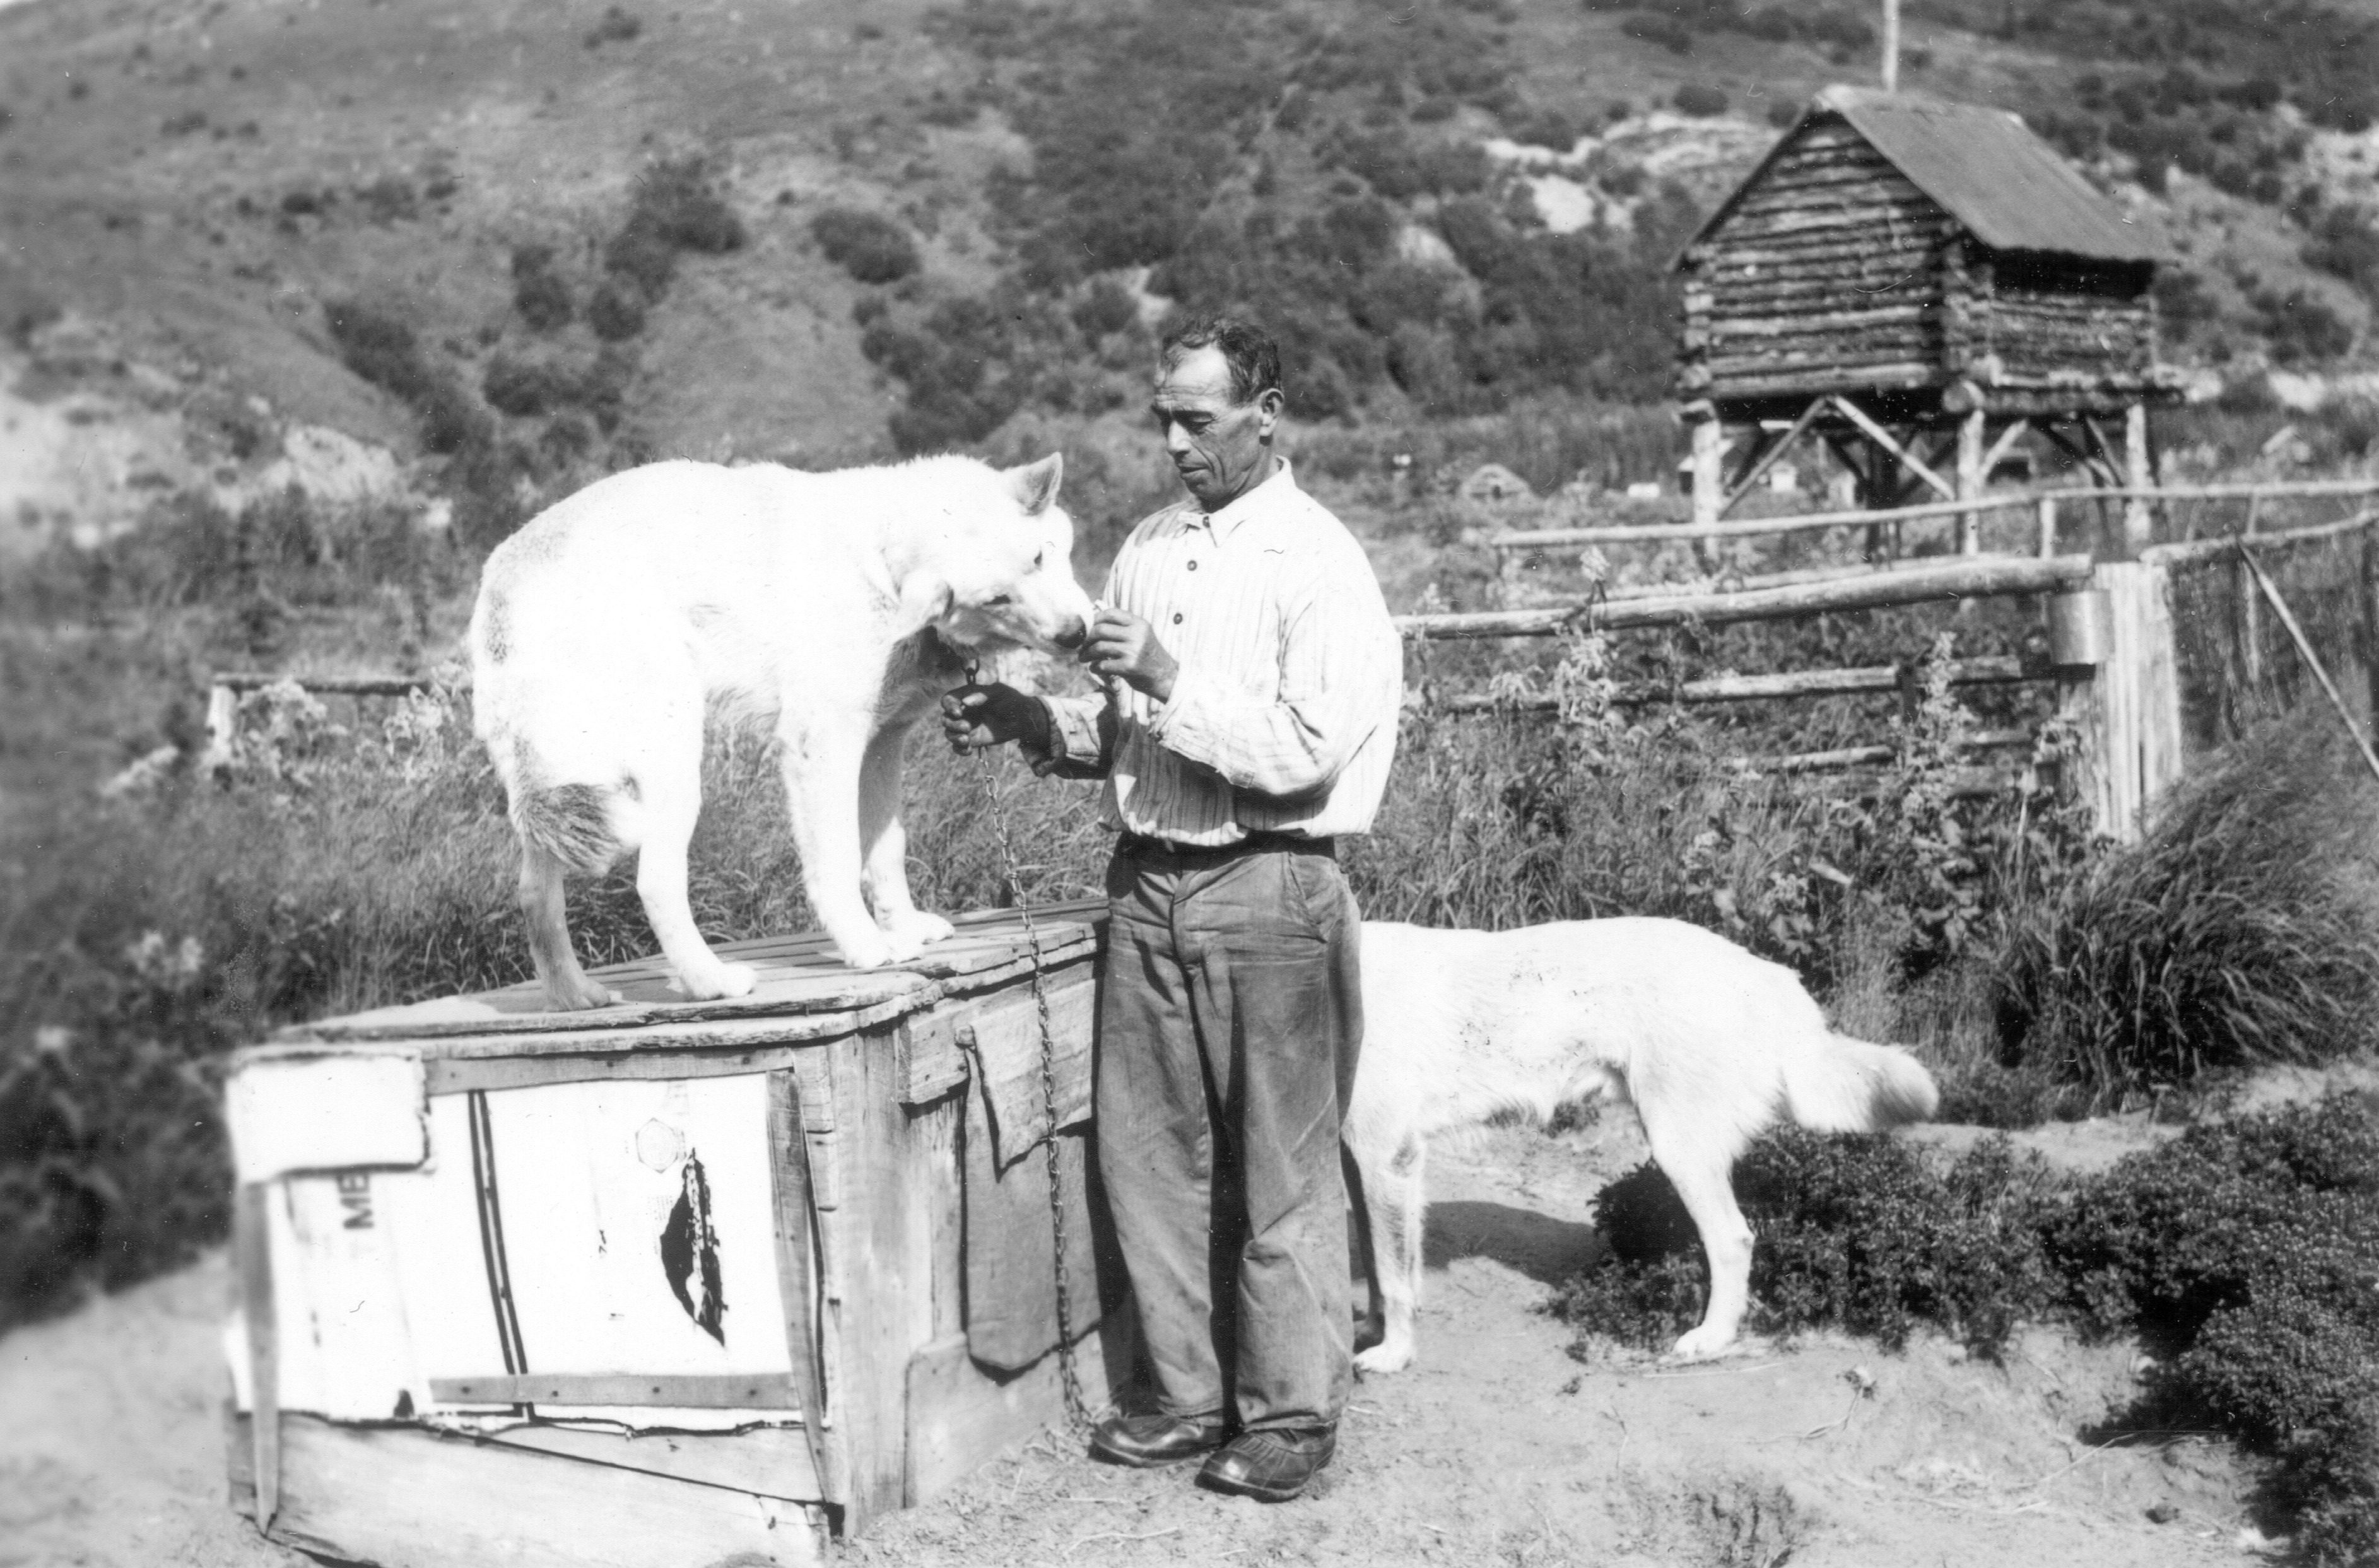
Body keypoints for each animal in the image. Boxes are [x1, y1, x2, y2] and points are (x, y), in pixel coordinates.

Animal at [466, 447, 1094, 1014]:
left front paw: (905, 930)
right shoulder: (822, 744)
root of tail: (504, 584)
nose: (1077, 634)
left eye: (1041, 557)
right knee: (655, 882)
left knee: (535, 896)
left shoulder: (881, 745)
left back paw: (575, 997)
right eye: (998, 597)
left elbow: (885, 851)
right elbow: (838, 861)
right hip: (671, 770)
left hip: (565, 797)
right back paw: (711, 983)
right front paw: (868, 948)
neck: (880, 567)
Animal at [1341, 913, 1932, 1370]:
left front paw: (1393, 1355)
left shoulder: (1387, 1159)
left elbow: (1393, 1277)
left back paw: (1710, 1339)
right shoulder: (1363, 1166)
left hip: (1678, 1150)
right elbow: (1375, 1263)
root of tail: (1764, 973)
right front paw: (1368, 1330)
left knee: (1733, 1241)